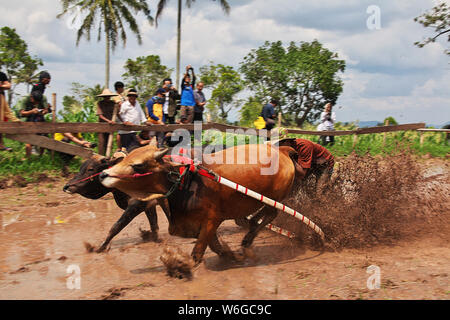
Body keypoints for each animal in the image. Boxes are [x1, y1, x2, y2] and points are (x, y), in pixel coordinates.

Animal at [99, 144, 296, 264]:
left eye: (138, 165)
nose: (103, 174)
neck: (185, 182)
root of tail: (282, 150)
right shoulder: (202, 226)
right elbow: (216, 247)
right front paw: (231, 256)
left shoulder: (212, 220)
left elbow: (197, 254)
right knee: (259, 217)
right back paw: (249, 229)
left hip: (275, 199)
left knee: (271, 214)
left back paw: (248, 238)